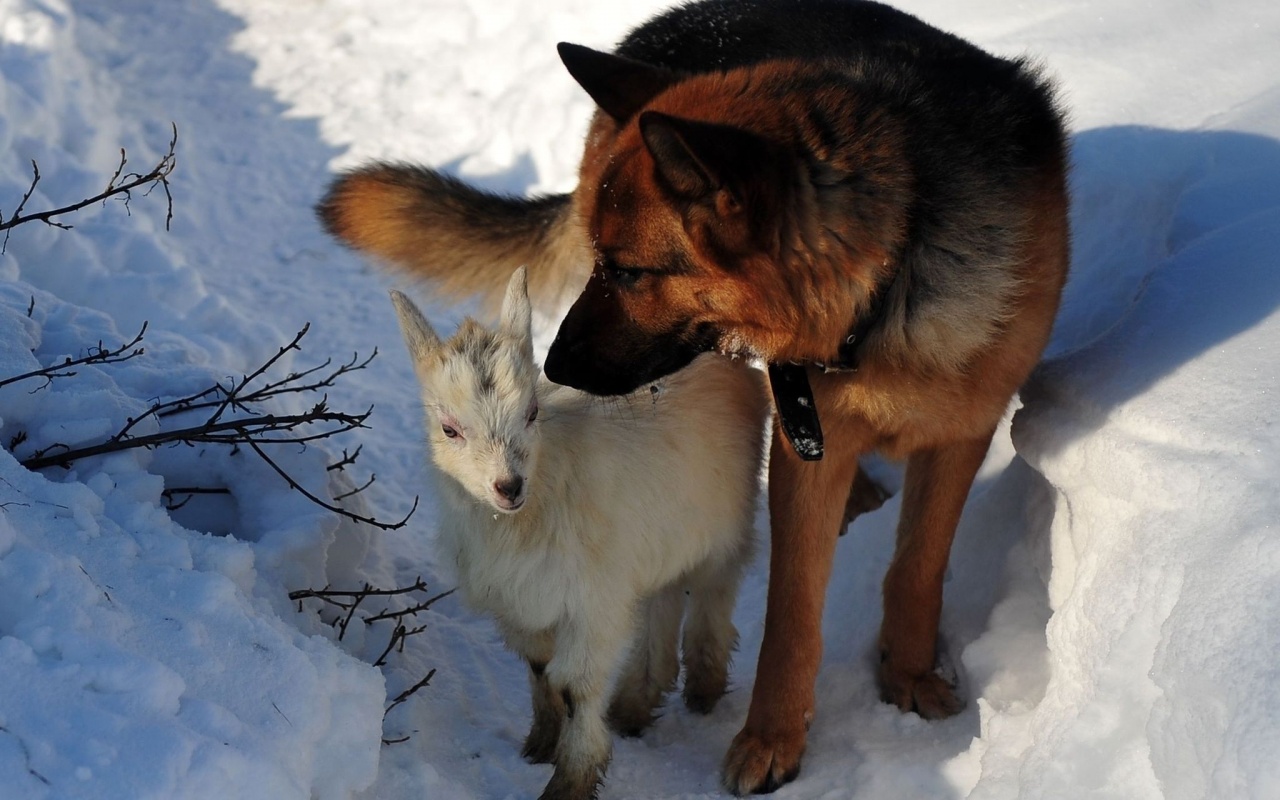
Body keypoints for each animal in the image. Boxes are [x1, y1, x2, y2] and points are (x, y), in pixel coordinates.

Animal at [320, 1, 1070, 793]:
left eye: (630, 272)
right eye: (602, 264)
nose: (554, 364)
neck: (890, 281)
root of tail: (671, 21)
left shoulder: (964, 429)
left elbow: (917, 569)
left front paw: (908, 677)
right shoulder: (806, 441)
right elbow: (790, 613)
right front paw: (770, 738)